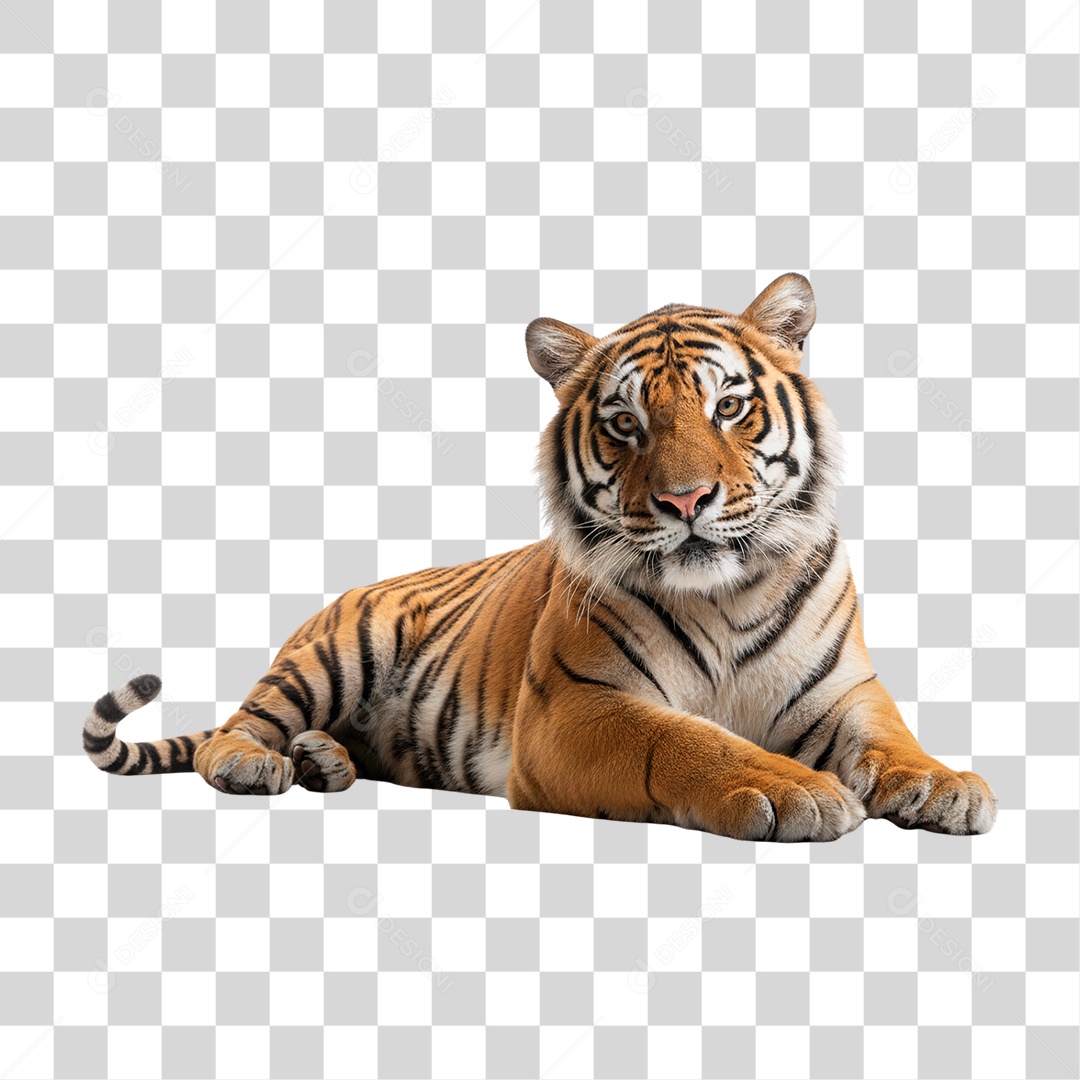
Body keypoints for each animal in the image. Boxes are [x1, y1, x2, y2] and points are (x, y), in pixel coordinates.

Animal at [85, 273, 997, 841]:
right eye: (625, 424)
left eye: (729, 408)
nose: (686, 501)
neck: (724, 595)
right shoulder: (574, 708)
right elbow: (689, 741)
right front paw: (794, 788)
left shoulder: (846, 692)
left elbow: (895, 740)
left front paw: (947, 786)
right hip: (333, 652)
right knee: (236, 728)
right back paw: (257, 761)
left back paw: (323, 759)